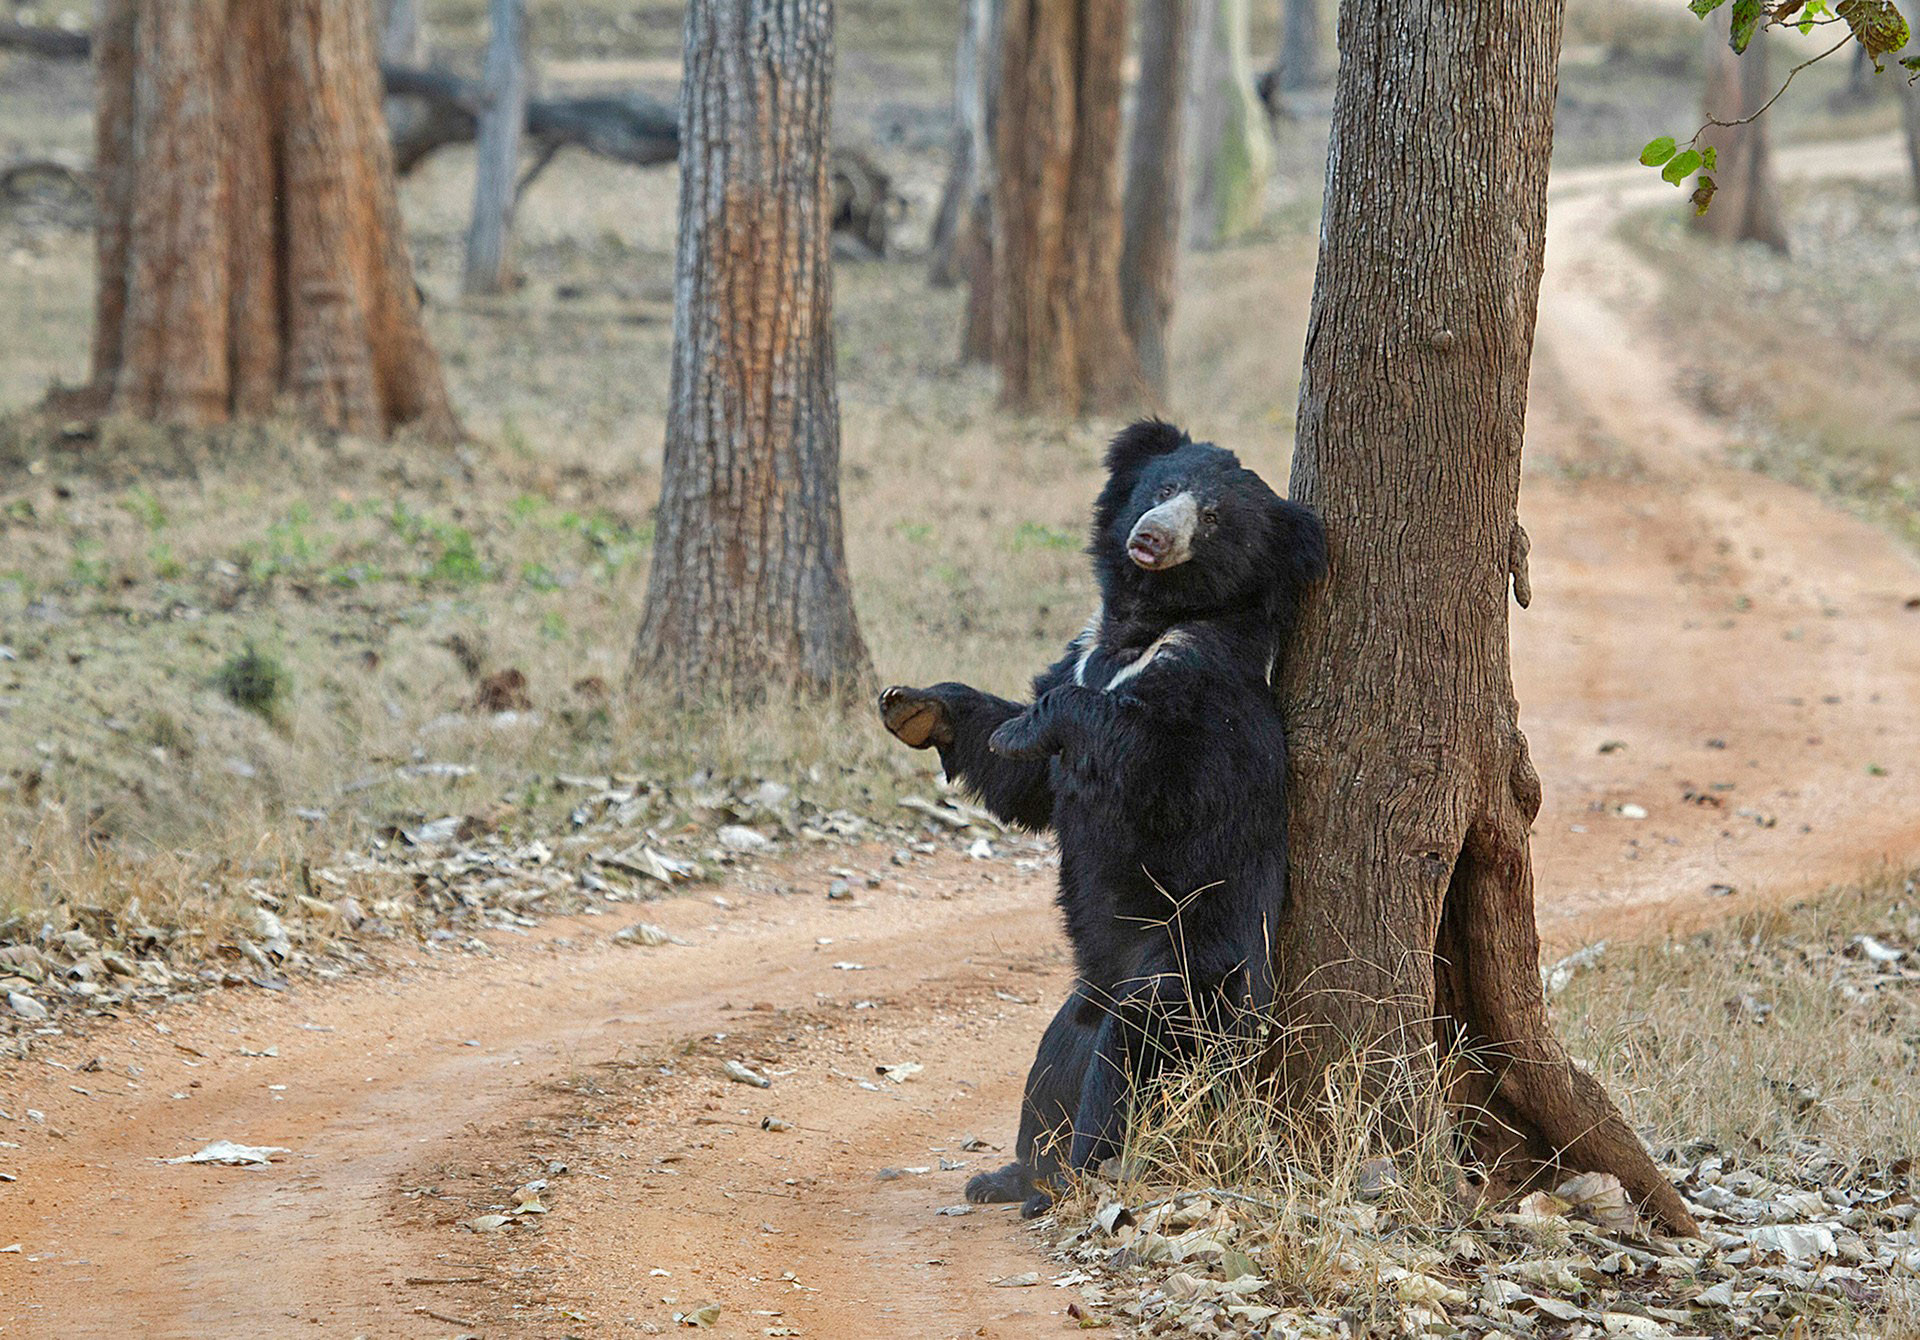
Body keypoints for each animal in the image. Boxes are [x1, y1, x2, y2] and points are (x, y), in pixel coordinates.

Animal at [878, 419, 1327, 1217]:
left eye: (1214, 518)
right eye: (1162, 488)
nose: (1150, 537)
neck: (1144, 625)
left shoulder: (1204, 701)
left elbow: (1152, 767)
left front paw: (1023, 729)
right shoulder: (1080, 652)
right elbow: (1026, 781)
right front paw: (916, 705)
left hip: (1186, 968)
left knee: (1132, 1059)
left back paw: (1075, 1175)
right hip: (1087, 1000)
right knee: (1058, 1060)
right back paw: (1014, 1174)